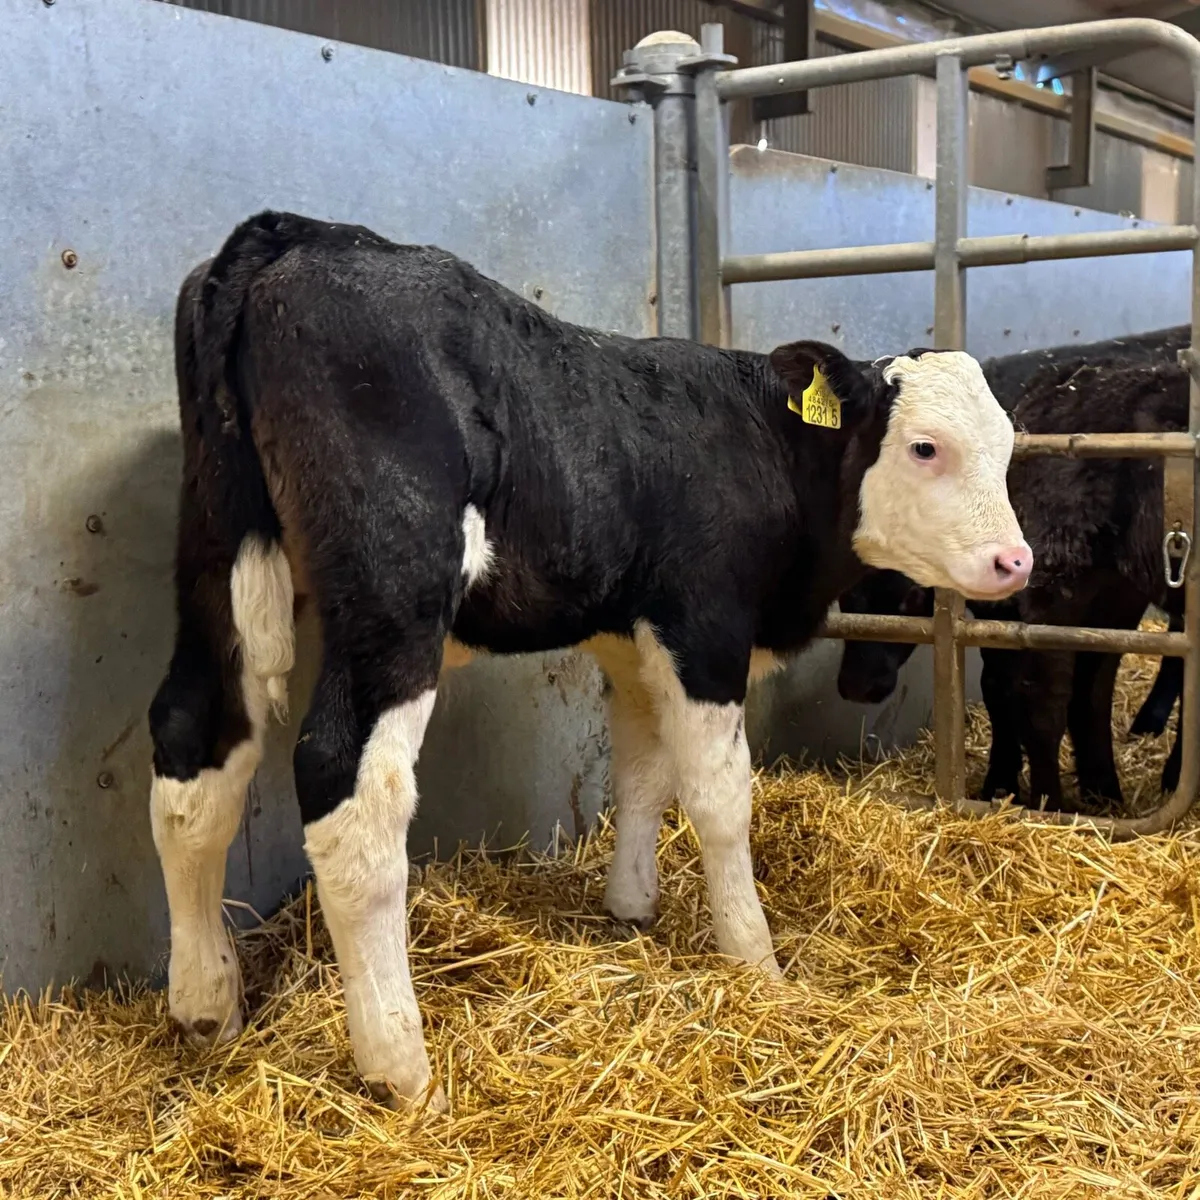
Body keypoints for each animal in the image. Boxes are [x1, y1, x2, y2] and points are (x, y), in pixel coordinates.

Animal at [148, 210, 1029, 1109]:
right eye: (925, 447)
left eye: (1008, 450)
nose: (1014, 561)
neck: (764, 450)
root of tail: (296, 233)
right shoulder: (704, 628)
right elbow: (718, 797)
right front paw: (755, 959)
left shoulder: (631, 641)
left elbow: (640, 770)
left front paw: (631, 905)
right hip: (392, 590)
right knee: (349, 784)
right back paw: (403, 1069)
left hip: (215, 550)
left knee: (194, 748)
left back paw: (207, 1006)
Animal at [837, 350, 1187, 812]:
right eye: (842, 594)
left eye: (909, 594)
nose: (855, 686)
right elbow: (1011, 691)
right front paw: (1009, 786)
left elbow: (1028, 698)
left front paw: (1025, 793)